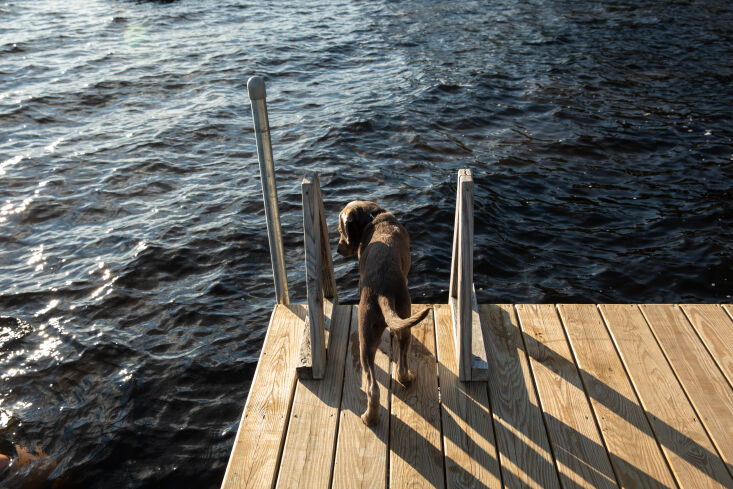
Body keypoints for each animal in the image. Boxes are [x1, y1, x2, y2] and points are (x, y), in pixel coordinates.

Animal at [336, 200, 428, 426]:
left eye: (340, 230)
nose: (338, 249)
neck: (373, 217)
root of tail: (382, 292)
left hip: (367, 336)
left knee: (376, 384)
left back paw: (371, 416)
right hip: (400, 321)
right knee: (396, 369)